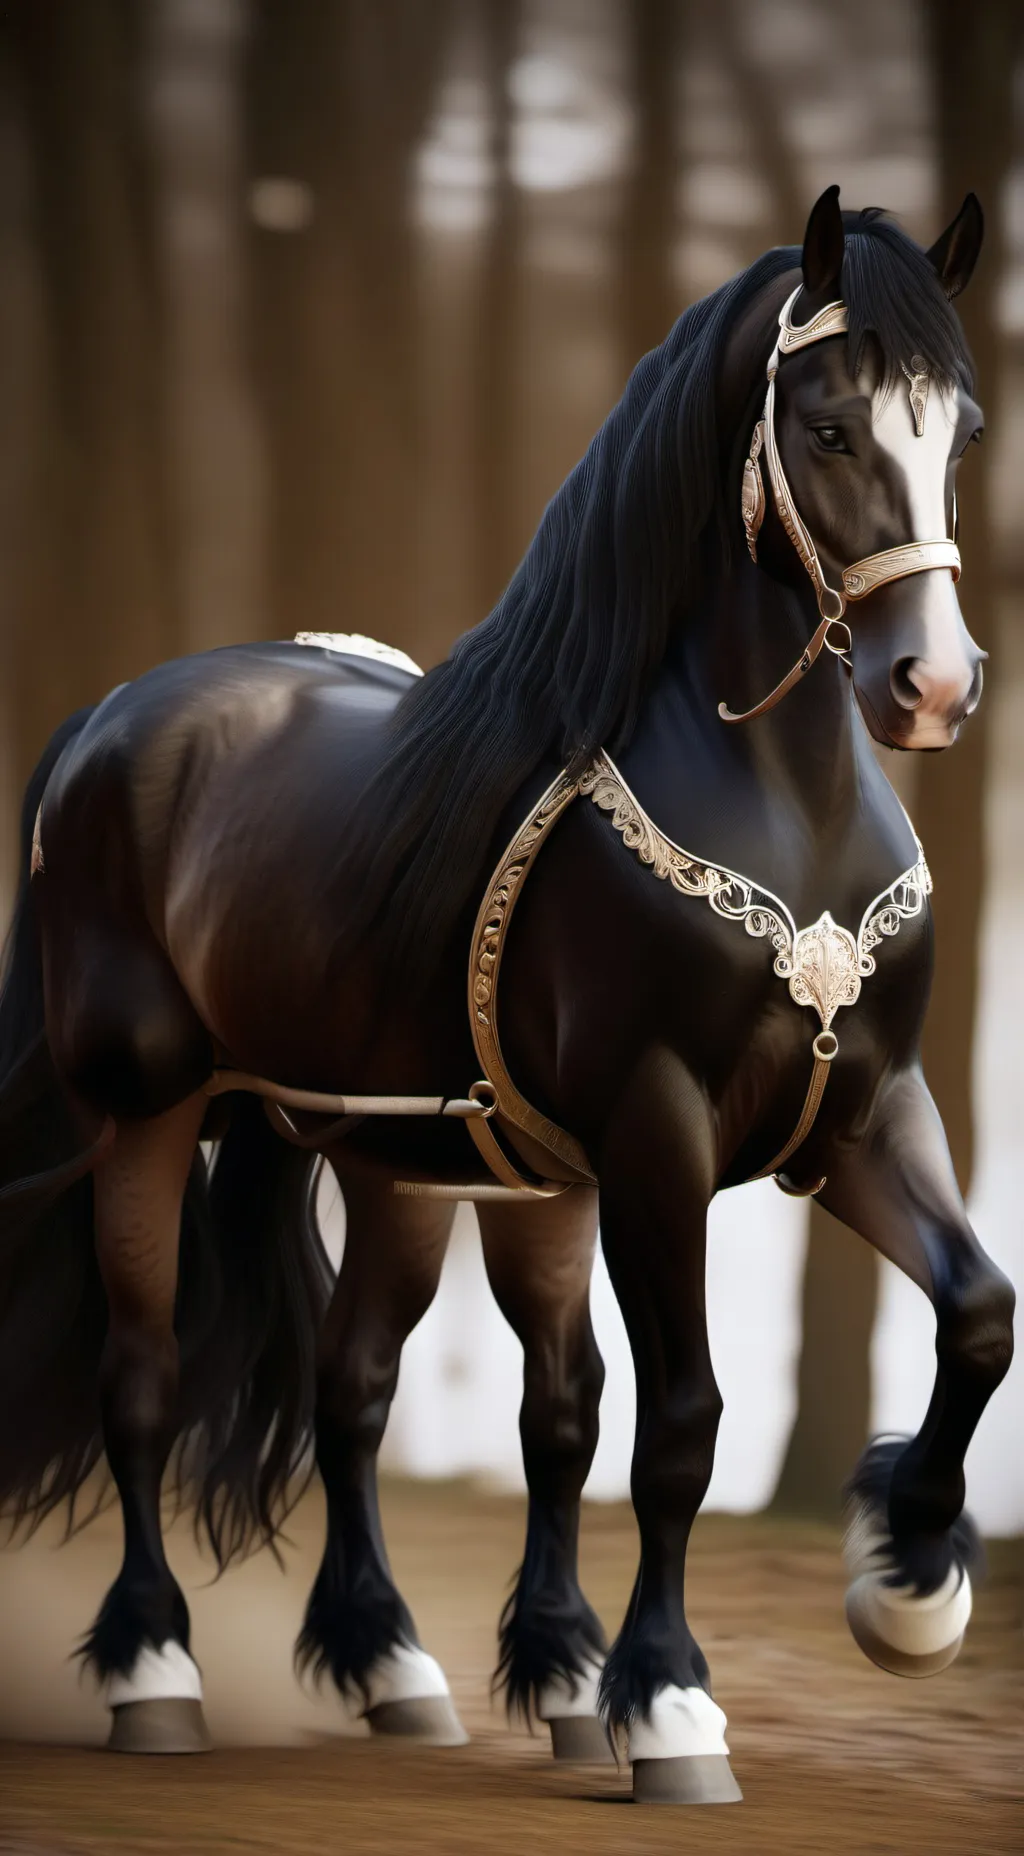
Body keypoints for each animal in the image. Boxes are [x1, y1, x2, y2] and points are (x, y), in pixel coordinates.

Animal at [0, 186, 1014, 1804]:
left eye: (961, 429)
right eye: (830, 427)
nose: (933, 687)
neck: (781, 812)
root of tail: (112, 717)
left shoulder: (864, 1116)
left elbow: (975, 1313)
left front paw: (907, 1584)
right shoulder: (660, 1139)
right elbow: (681, 1422)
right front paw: (669, 1705)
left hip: (411, 1163)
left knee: (372, 1390)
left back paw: (411, 1668)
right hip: (147, 1117)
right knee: (143, 1377)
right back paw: (156, 1670)